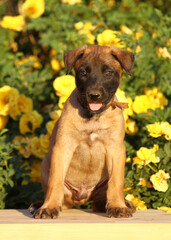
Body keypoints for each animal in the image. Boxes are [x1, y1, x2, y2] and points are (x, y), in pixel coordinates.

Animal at [30, 45, 136, 219]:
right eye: (83, 72)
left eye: (108, 73)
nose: (94, 95)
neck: (93, 117)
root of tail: (82, 197)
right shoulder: (63, 147)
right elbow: (55, 181)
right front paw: (48, 207)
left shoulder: (116, 149)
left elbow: (116, 181)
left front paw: (117, 206)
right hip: (47, 163)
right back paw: (42, 204)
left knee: (100, 201)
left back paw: (122, 203)